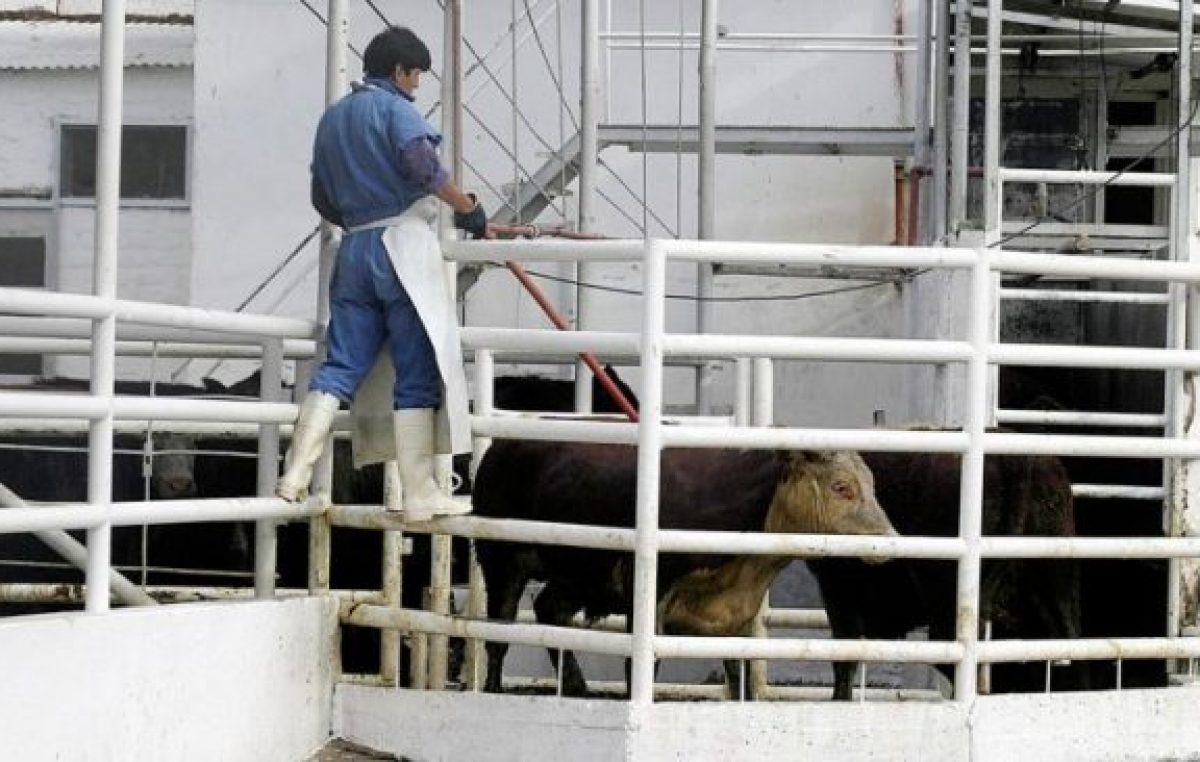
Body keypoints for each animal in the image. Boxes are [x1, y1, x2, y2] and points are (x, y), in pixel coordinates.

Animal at [472, 444, 897, 700]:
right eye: (841, 486)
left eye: (872, 485)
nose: (889, 540)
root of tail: (500, 449)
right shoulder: (648, 590)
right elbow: (643, 663)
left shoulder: (737, 614)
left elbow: (738, 671)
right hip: (502, 561)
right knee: (498, 634)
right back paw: (493, 688)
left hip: (578, 576)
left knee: (550, 610)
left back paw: (577, 687)